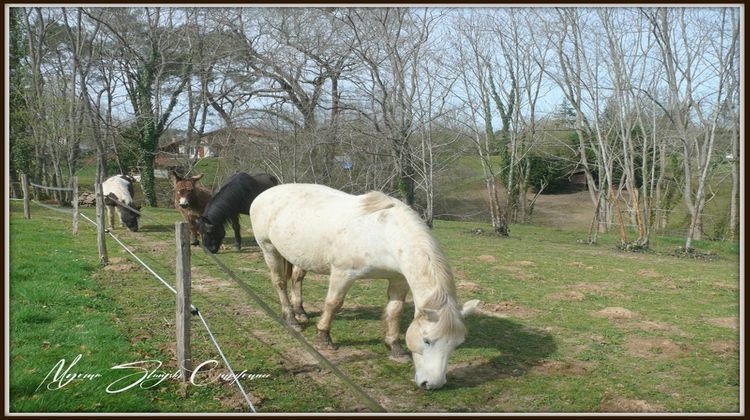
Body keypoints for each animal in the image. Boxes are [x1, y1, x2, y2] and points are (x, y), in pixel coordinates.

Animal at [250, 184, 478, 390]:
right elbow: (334, 303)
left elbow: (395, 311)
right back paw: (291, 318)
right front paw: (324, 337)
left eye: (457, 344)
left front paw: (394, 347)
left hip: (299, 255)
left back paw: (300, 312)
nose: (432, 384)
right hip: (269, 250)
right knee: (280, 283)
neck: (385, 234)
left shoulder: (399, 279)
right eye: (427, 340)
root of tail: (265, 194)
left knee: (297, 278)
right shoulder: (343, 274)